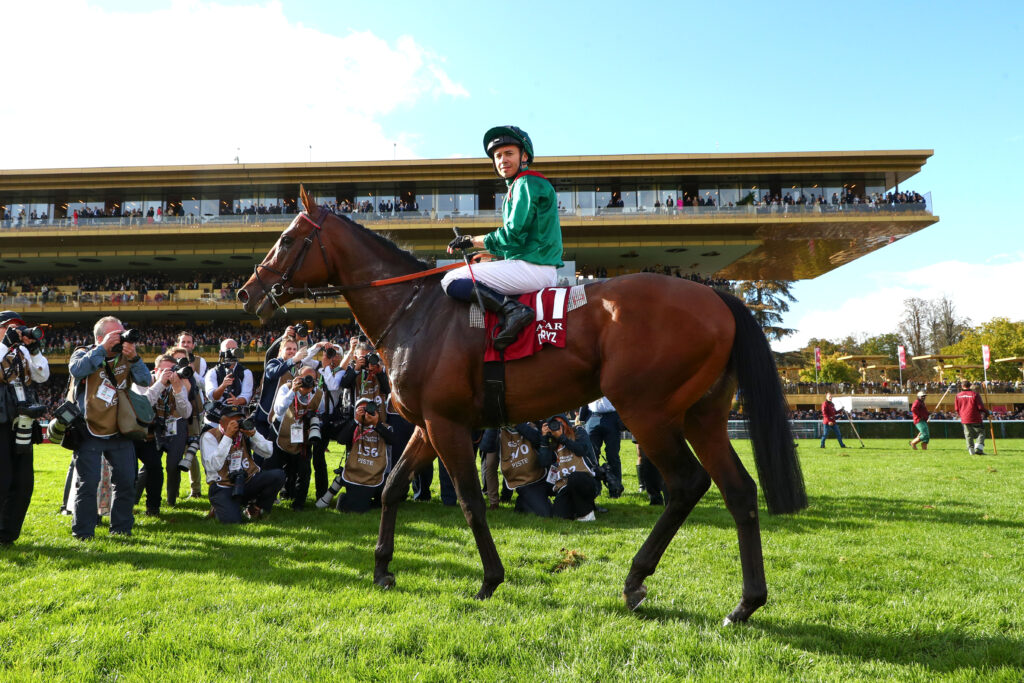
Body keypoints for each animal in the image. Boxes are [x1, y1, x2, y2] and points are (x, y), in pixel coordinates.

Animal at [238, 187, 806, 625]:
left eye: (286, 239)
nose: (247, 292)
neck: (415, 311)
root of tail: (715, 296)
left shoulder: (447, 425)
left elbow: (470, 500)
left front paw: (489, 580)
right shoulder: (425, 425)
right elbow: (394, 487)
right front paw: (382, 570)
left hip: (648, 413)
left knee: (686, 484)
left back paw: (635, 580)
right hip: (701, 417)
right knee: (739, 491)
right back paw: (745, 604)